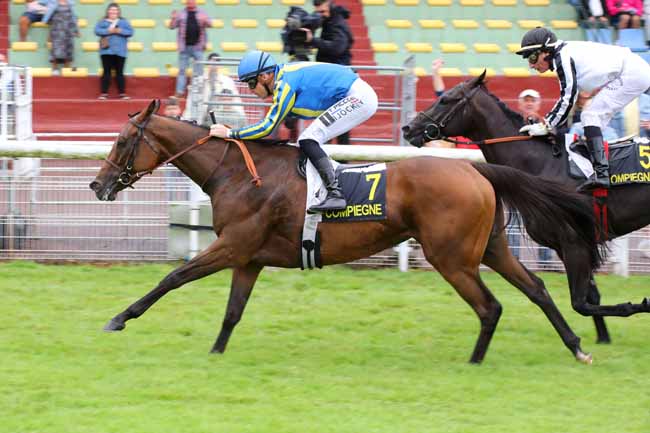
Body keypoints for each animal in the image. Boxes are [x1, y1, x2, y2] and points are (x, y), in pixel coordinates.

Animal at [88, 99, 600, 362]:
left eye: (122, 141)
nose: (97, 185)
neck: (236, 173)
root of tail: (475, 169)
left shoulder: (231, 245)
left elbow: (173, 277)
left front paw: (119, 318)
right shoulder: (248, 258)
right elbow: (233, 312)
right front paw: (216, 353)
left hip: (451, 257)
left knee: (490, 306)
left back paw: (475, 361)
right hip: (491, 248)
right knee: (536, 289)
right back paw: (576, 346)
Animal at [400, 70, 648, 340]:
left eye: (445, 99)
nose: (408, 128)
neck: (542, 163)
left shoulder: (574, 242)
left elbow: (580, 303)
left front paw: (635, 307)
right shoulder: (567, 245)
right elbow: (590, 297)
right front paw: (603, 338)